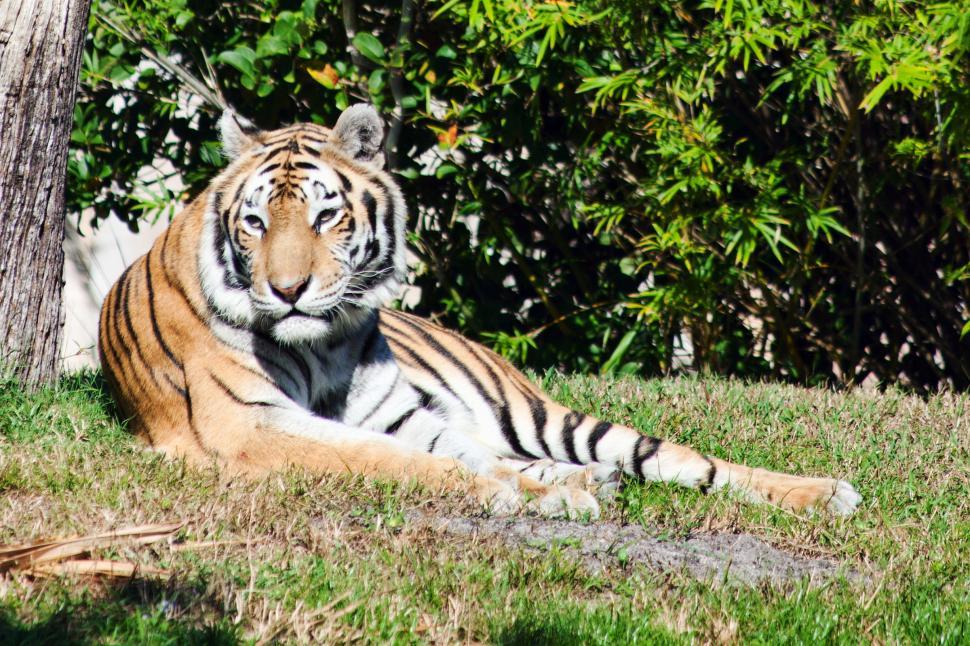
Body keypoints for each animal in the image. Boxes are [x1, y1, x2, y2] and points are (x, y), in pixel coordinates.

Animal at [98, 104, 861, 518]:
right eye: (255, 223)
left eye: (325, 216)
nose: (286, 291)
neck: (327, 342)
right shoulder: (250, 425)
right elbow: (405, 462)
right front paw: (544, 497)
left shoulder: (396, 416)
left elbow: (444, 457)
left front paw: (542, 494)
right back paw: (584, 482)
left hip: (535, 412)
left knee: (682, 459)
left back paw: (823, 493)